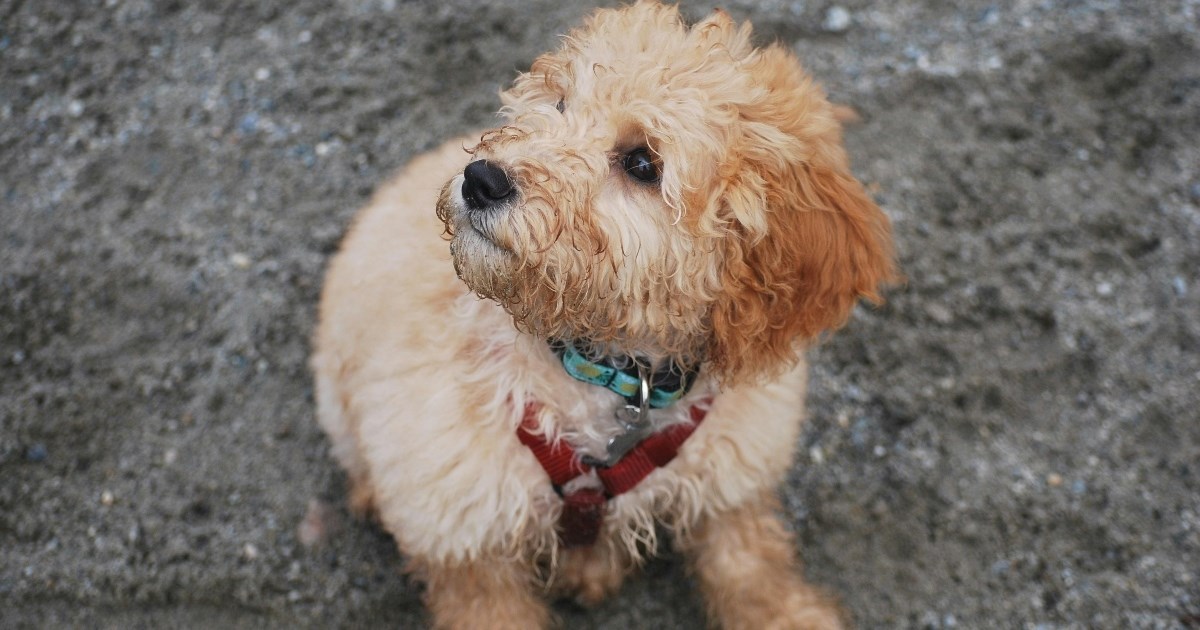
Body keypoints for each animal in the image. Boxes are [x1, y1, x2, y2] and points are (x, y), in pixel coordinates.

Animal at [314, 2, 897, 624]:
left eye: (642, 162)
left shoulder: (731, 472)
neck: (610, 375)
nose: (481, 179)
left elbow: (749, 561)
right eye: (560, 103)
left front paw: (791, 614)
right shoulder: (461, 527)